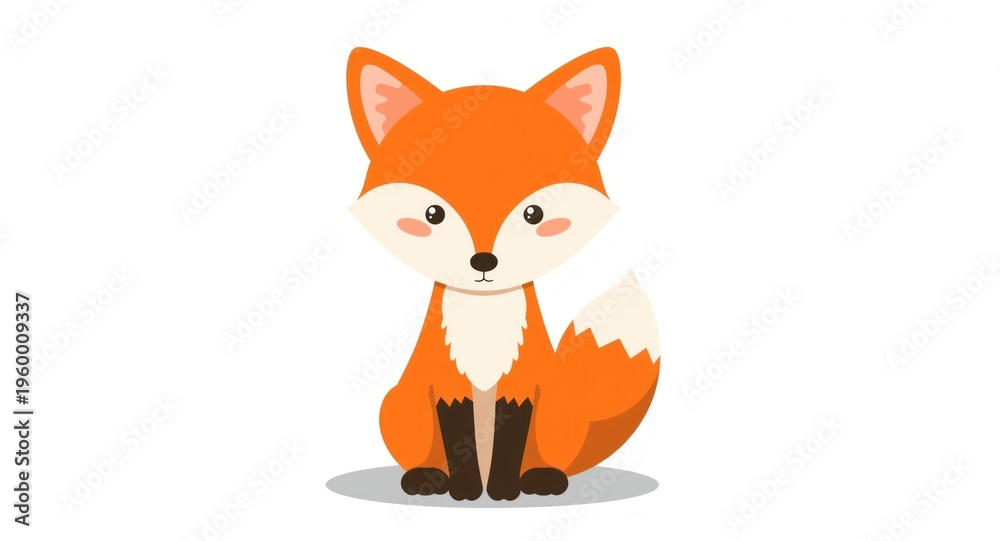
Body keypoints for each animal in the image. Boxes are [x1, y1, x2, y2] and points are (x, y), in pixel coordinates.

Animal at [346, 47, 660, 501]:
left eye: (534, 214)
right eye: (433, 214)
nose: (483, 262)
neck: (485, 321)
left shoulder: (520, 386)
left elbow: (511, 442)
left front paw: (502, 491)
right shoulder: (447, 385)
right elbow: (457, 440)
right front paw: (464, 491)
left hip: (558, 411)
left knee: (553, 460)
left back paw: (543, 478)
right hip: (398, 405)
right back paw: (425, 477)